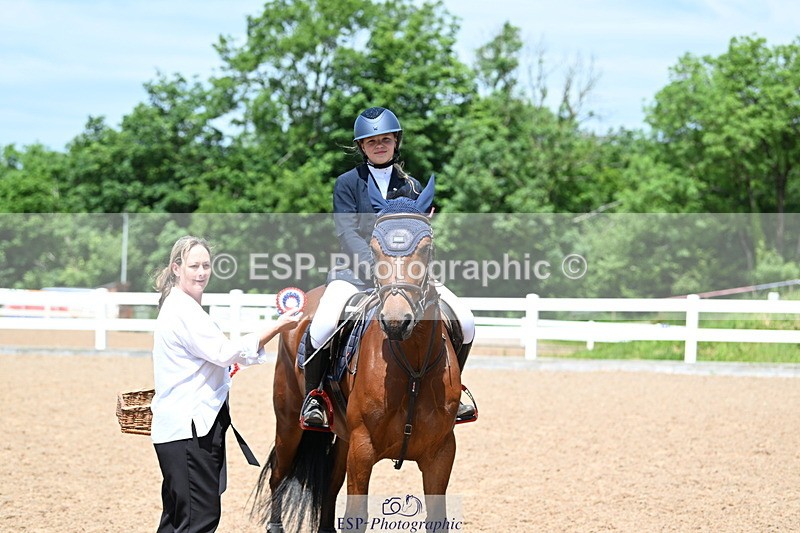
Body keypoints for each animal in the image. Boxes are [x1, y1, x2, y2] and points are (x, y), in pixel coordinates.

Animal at [252, 176, 465, 533]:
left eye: (427, 248)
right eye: (375, 250)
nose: (396, 321)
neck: (413, 367)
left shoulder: (441, 452)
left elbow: (436, 519)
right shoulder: (363, 448)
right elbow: (356, 517)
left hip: (342, 437)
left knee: (329, 484)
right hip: (289, 420)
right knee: (279, 474)